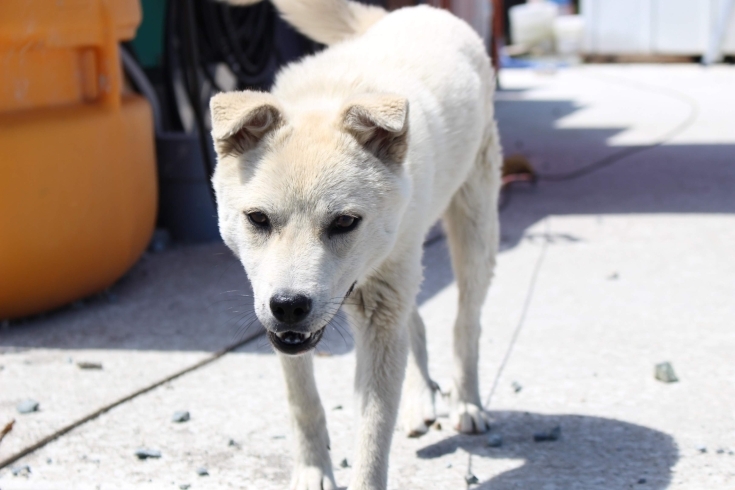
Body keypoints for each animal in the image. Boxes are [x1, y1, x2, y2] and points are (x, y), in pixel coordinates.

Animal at [210, 1, 504, 488]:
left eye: (345, 222)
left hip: (474, 229)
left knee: (466, 324)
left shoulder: (380, 312)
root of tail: (413, 12)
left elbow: (372, 436)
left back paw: (465, 401)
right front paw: (312, 472)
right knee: (416, 322)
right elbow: (303, 403)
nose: (289, 305)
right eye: (258, 219)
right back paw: (422, 401)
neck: (326, 98)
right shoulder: (285, 323)